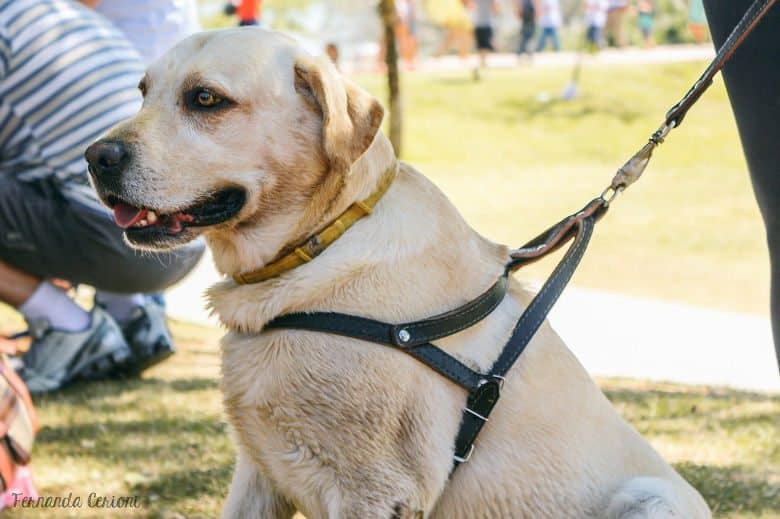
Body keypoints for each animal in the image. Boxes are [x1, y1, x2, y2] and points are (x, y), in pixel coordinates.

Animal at [84, 29, 708, 519]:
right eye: (143, 92)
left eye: (206, 99)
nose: (95, 157)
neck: (320, 244)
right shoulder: (257, 473)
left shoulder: (378, 489)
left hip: (653, 500)